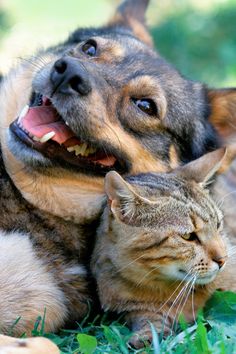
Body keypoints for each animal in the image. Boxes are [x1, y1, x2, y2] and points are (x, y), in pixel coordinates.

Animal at [91, 148, 236, 348]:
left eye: (218, 225)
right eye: (188, 236)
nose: (223, 260)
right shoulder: (132, 308)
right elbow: (149, 320)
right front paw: (147, 335)